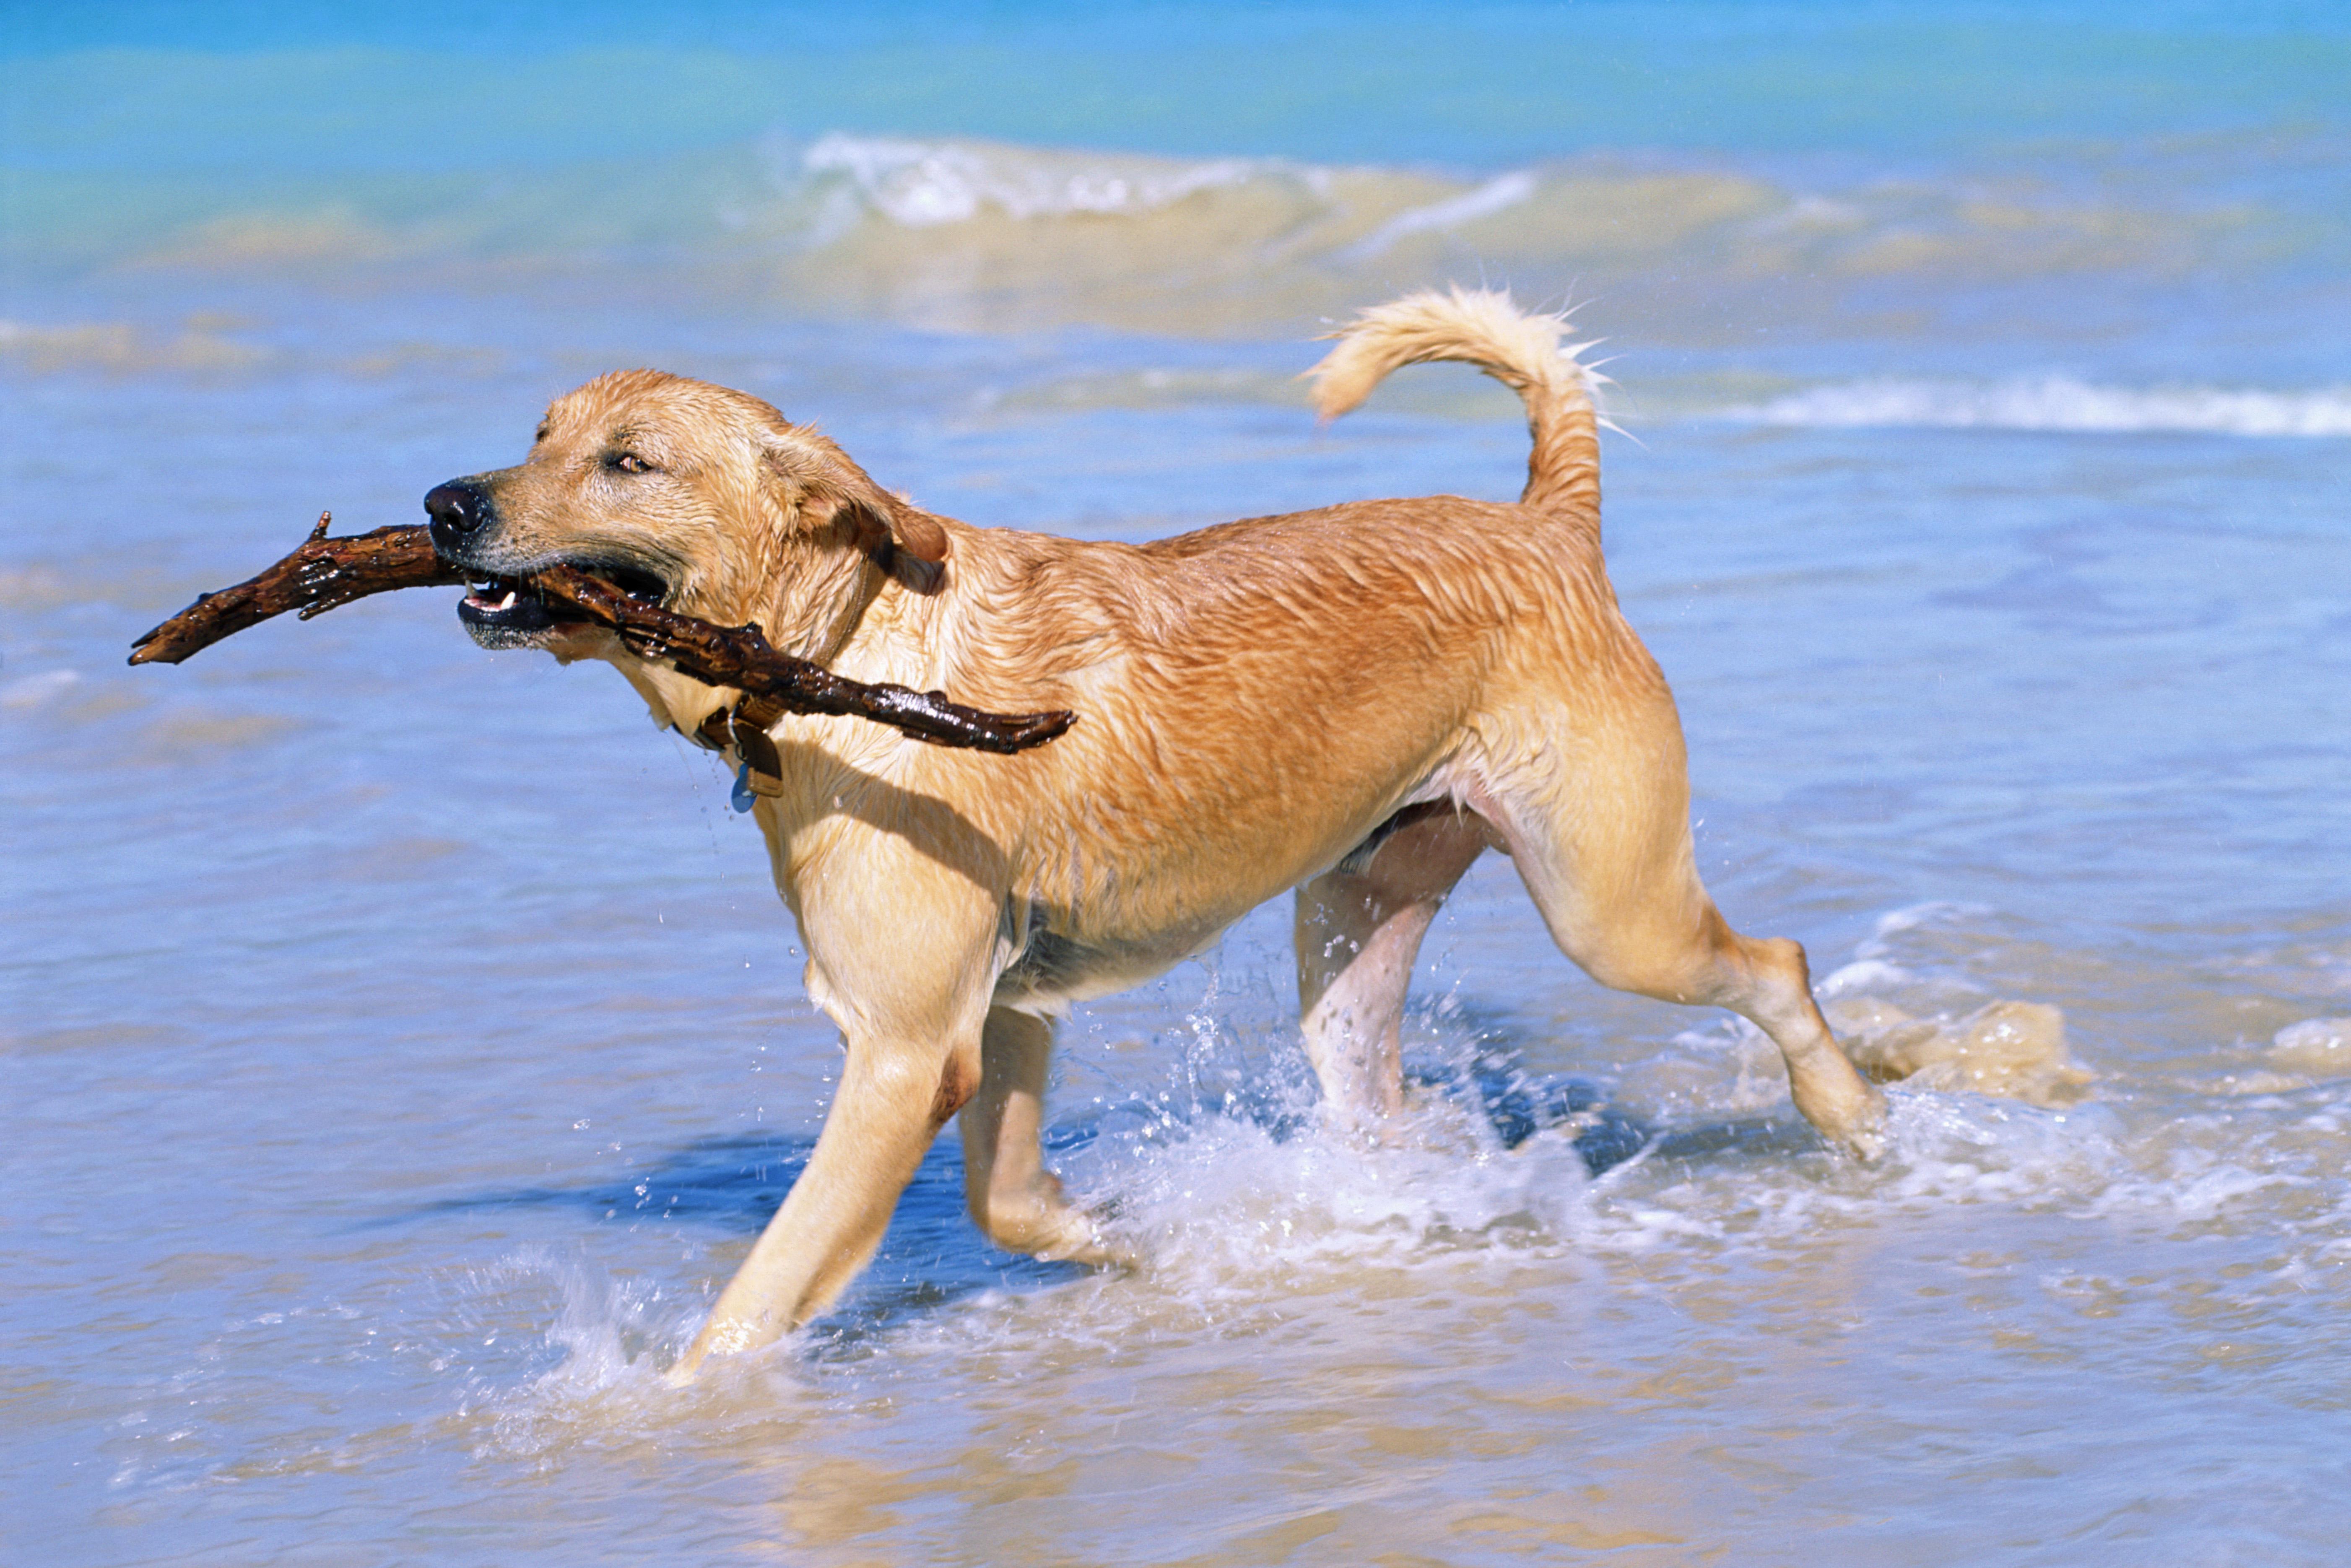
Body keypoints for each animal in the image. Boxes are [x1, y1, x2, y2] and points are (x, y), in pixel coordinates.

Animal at [423, 288, 1881, 1382]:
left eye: (627, 461)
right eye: (537, 432)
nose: (441, 504)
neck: (846, 648)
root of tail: (1547, 520)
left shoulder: (903, 1050)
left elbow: (760, 1291)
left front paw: (660, 1410)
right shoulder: (1006, 1012)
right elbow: (1012, 1202)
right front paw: (1142, 1242)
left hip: (1608, 907)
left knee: (1776, 965)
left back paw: (1855, 1118)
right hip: (1349, 937)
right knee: (1380, 1102)